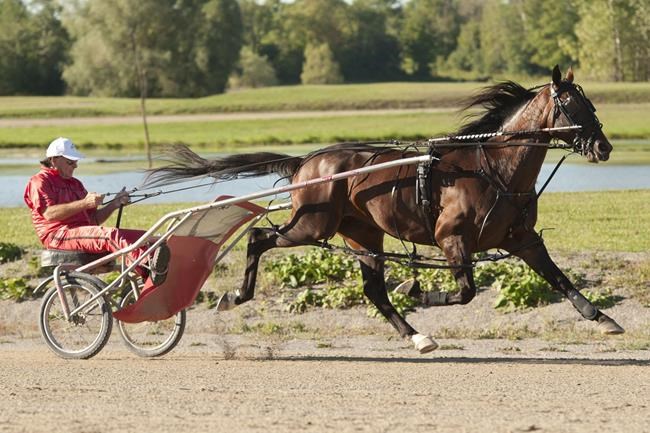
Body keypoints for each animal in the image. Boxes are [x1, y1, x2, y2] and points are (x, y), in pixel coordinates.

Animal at [147, 66, 624, 352]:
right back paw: (236, 295)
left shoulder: (521, 238)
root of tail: (306, 162)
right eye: (571, 105)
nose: (603, 146)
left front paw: (602, 319)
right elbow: (466, 291)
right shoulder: (451, 237)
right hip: (313, 223)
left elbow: (559, 278)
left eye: (590, 102)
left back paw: (417, 337)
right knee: (259, 236)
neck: (494, 169)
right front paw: (421, 291)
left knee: (373, 289)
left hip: (363, 233)